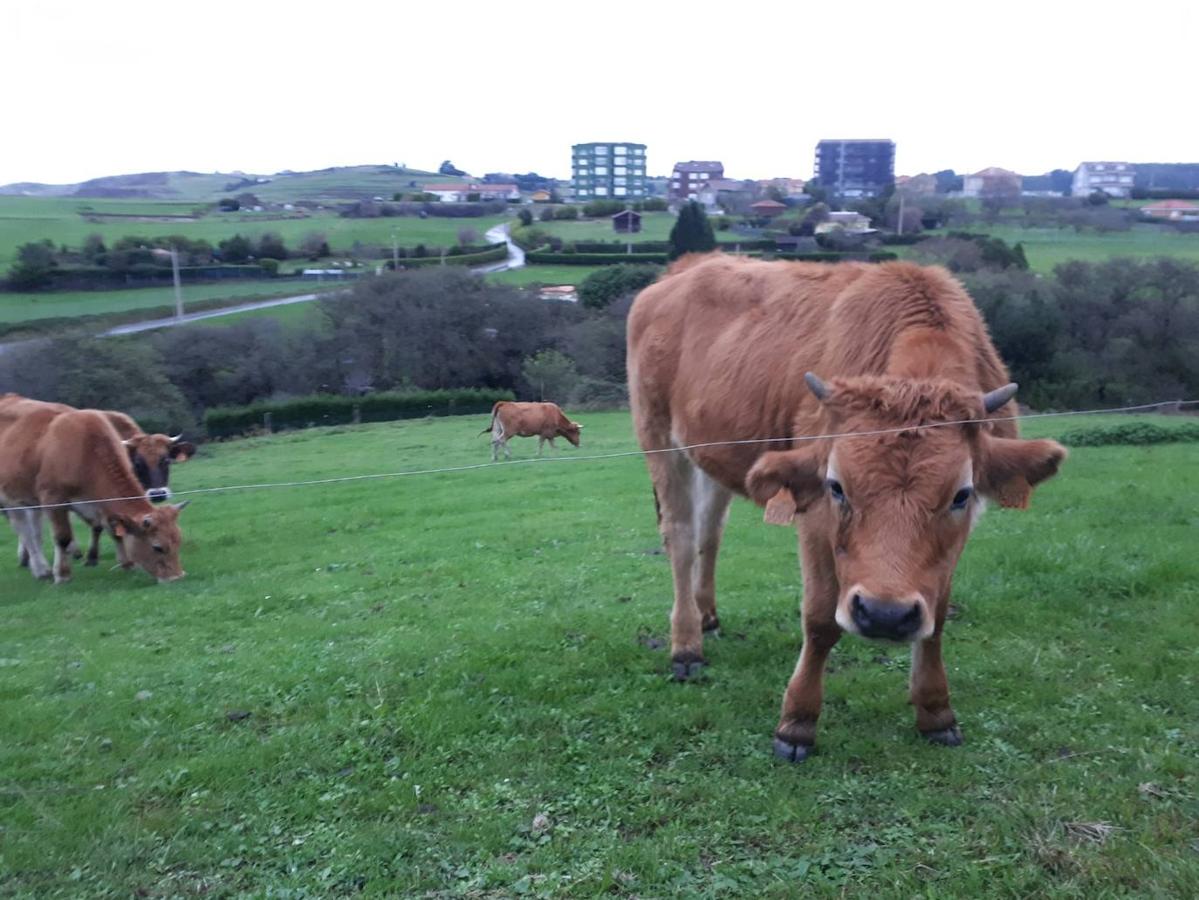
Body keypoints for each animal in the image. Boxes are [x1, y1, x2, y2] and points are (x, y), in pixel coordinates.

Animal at [628, 255, 1069, 762]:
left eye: (960, 494)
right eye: (837, 487)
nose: (884, 614)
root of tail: (686, 268)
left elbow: (937, 617)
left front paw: (935, 711)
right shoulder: (814, 512)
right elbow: (820, 619)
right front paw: (797, 722)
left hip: (712, 455)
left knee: (709, 532)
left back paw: (707, 616)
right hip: (659, 438)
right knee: (680, 536)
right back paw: (686, 645)